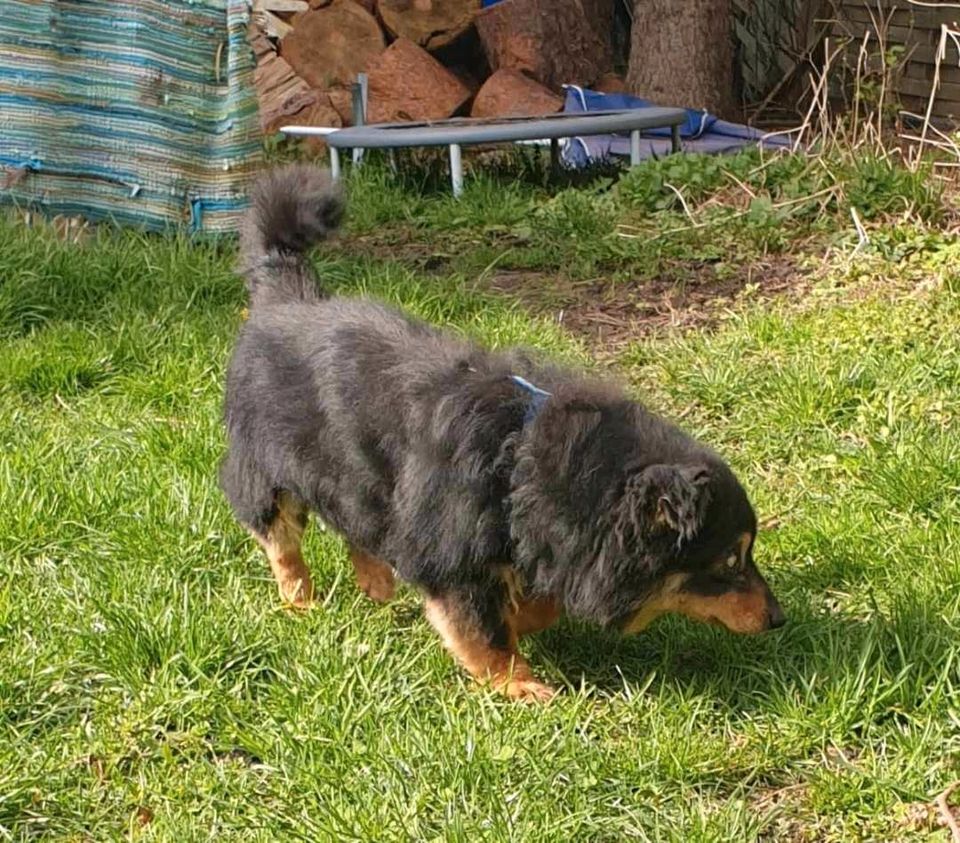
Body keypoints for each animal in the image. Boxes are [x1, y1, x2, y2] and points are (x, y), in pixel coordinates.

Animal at [221, 168, 784, 704]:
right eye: (730, 560)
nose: (778, 619)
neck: (521, 459)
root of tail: (285, 293)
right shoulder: (454, 556)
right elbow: (484, 628)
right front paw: (520, 685)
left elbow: (538, 602)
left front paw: (526, 616)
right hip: (267, 468)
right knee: (281, 540)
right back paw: (302, 602)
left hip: (353, 479)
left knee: (355, 524)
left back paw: (377, 583)